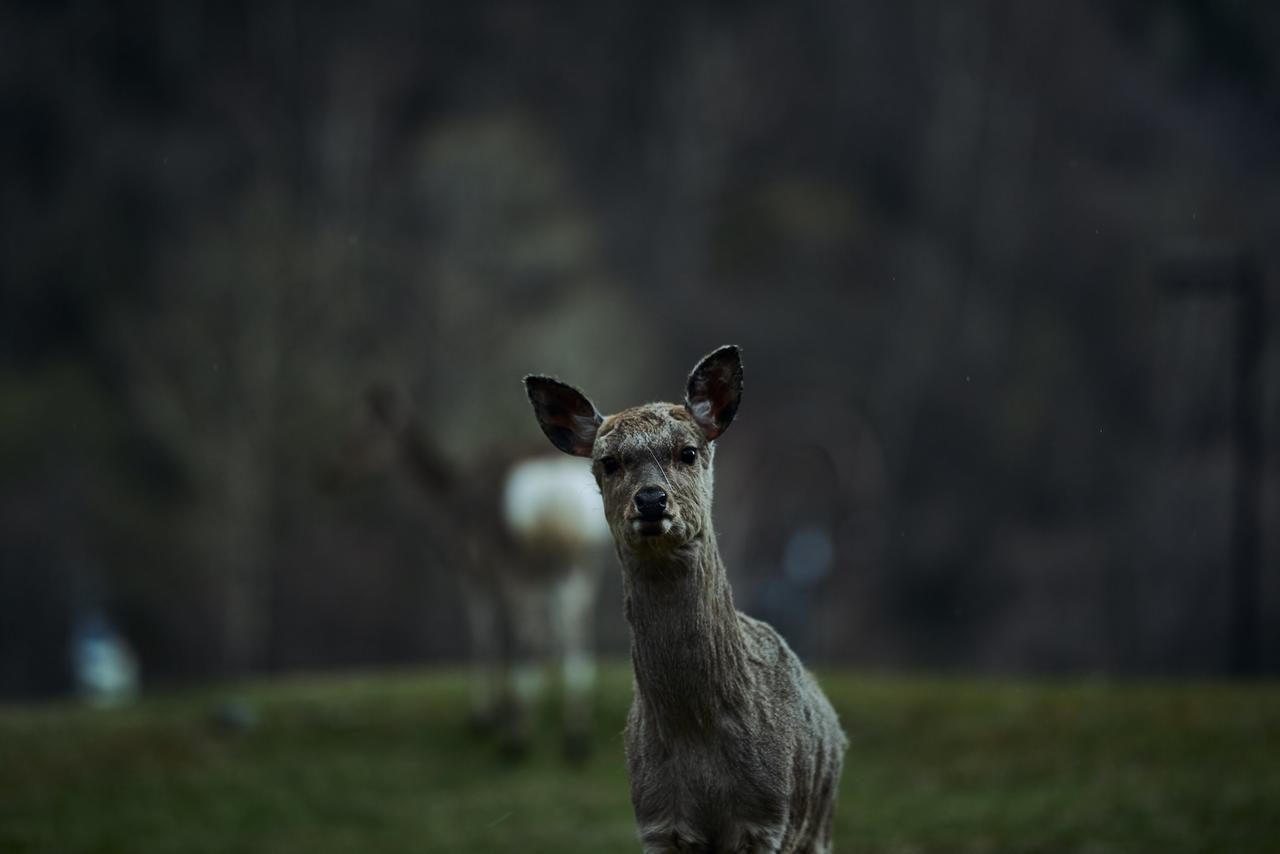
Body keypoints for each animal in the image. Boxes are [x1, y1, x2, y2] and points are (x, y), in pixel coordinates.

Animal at [320, 384, 609, 757]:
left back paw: (516, 738)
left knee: (529, 631)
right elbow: (553, 632)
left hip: (516, 556)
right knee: (577, 624)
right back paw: (576, 737)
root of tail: (553, 488)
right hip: (582, 557)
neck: (446, 503)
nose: (329, 474)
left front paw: (484, 717)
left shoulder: (471, 568)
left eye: (365, 430)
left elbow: (483, 634)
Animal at [527, 345, 849, 850]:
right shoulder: (656, 818)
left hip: (817, 830)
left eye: (688, 452)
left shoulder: (767, 818)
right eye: (608, 462)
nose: (651, 499)